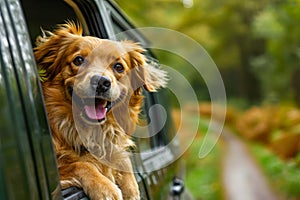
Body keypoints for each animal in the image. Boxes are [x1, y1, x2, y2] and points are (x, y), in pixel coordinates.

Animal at [34, 21, 169, 198]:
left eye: (118, 67)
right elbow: (80, 165)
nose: (101, 82)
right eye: (79, 60)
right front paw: (105, 187)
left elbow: (123, 161)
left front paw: (132, 189)